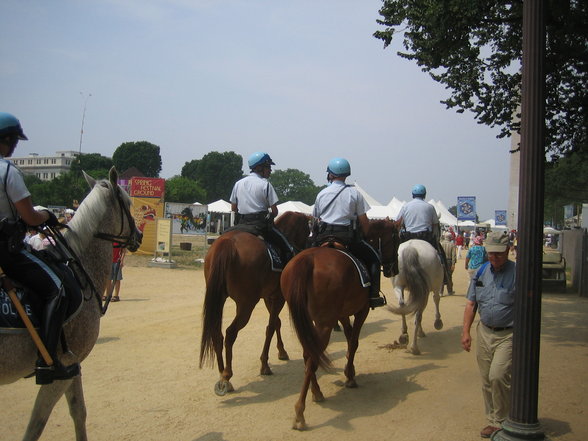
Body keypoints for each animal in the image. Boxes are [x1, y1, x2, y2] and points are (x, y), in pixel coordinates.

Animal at [0, 168, 141, 440]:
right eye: (129, 204)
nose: (139, 236)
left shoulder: (74, 363)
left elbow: (78, 412)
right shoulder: (63, 369)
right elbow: (37, 424)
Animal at [200, 211, 310, 396]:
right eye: (308, 230)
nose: (305, 248)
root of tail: (228, 243)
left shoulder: (268, 297)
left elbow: (276, 323)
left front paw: (281, 351)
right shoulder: (278, 297)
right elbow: (271, 327)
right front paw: (265, 365)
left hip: (220, 298)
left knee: (217, 333)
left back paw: (222, 373)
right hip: (246, 304)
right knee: (230, 333)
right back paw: (226, 376)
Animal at [280, 218, 400, 428]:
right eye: (395, 239)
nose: (394, 268)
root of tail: (308, 260)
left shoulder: (342, 314)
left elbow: (349, 336)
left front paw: (349, 371)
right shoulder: (362, 310)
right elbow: (354, 341)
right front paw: (350, 376)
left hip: (307, 321)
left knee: (308, 354)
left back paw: (316, 393)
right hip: (325, 324)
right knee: (312, 359)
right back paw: (300, 412)